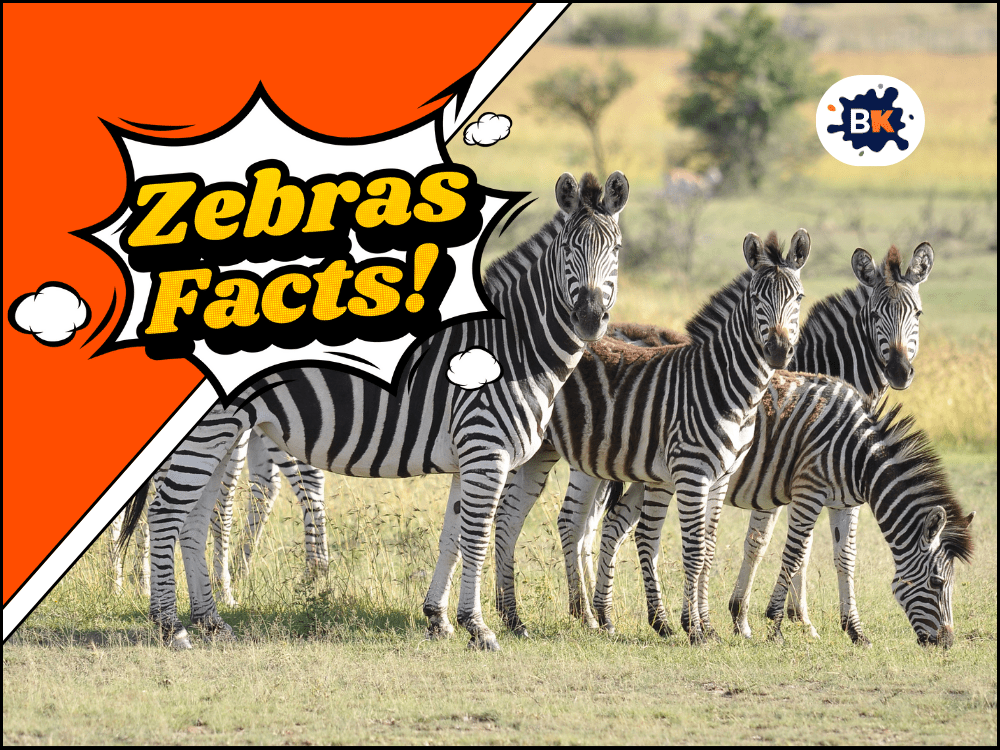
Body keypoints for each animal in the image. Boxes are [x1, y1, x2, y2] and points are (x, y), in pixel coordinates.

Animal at [119, 170, 630, 650]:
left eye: (618, 249)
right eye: (567, 250)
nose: (589, 318)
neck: (514, 346)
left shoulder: (468, 457)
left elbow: (452, 536)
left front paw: (438, 619)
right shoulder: (486, 450)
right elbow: (476, 537)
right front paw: (479, 628)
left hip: (224, 433)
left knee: (194, 518)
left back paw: (210, 621)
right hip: (210, 431)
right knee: (166, 513)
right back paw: (170, 627)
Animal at [441, 228, 811, 643]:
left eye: (798, 297)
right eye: (756, 299)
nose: (778, 351)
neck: (724, 383)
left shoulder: (721, 477)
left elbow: (710, 550)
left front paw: (710, 626)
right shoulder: (696, 474)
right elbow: (700, 549)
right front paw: (699, 629)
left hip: (542, 452)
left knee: (510, 517)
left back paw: (517, 614)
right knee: (544, 519)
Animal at [501, 241, 936, 644]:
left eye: (917, 314)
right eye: (876, 315)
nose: (900, 371)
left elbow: (806, 549)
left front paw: (775, 618)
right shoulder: (786, 478)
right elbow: (777, 546)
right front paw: (779, 618)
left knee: (590, 524)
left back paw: (594, 613)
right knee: (577, 522)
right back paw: (590, 612)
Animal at [589, 372, 974, 647]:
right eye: (938, 582)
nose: (947, 643)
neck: (856, 454)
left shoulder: (844, 503)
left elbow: (845, 559)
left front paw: (855, 630)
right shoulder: (809, 491)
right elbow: (795, 553)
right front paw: (775, 624)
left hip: (648, 473)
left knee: (615, 524)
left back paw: (604, 617)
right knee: (635, 532)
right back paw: (647, 620)